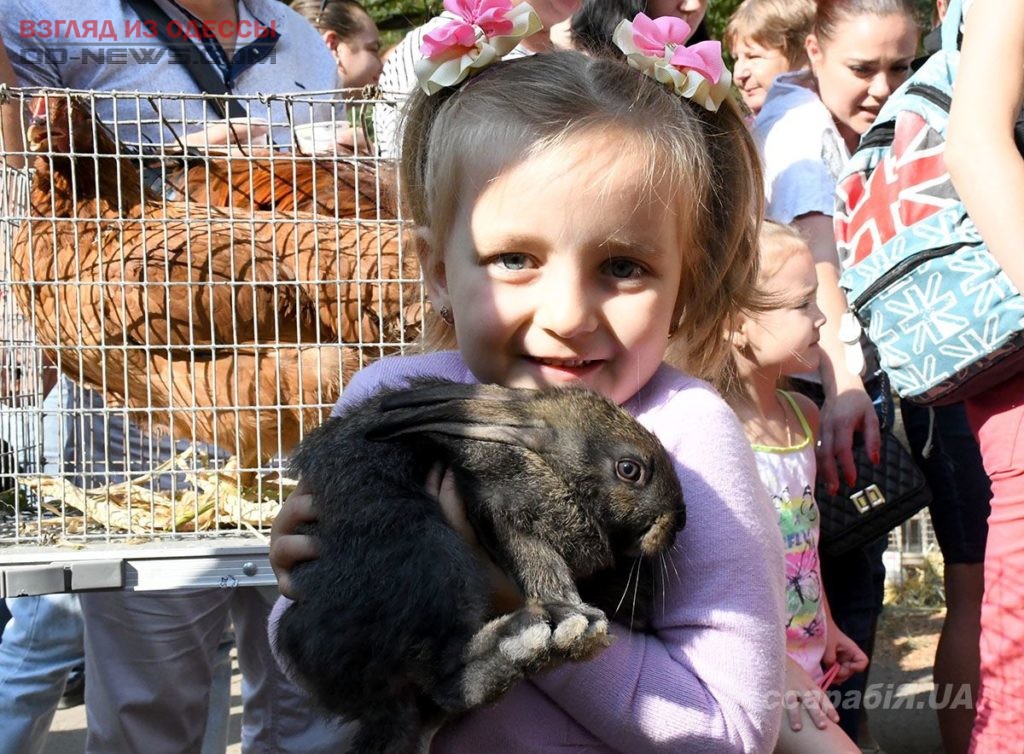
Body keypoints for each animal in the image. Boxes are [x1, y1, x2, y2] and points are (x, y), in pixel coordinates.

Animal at [276, 383, 684, 754]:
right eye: (629, 469)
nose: (678, 523)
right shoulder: (502, 503)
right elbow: (540, 563)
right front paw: (574, 614)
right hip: (429, 555)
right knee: (447, 676)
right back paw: (523, 643)